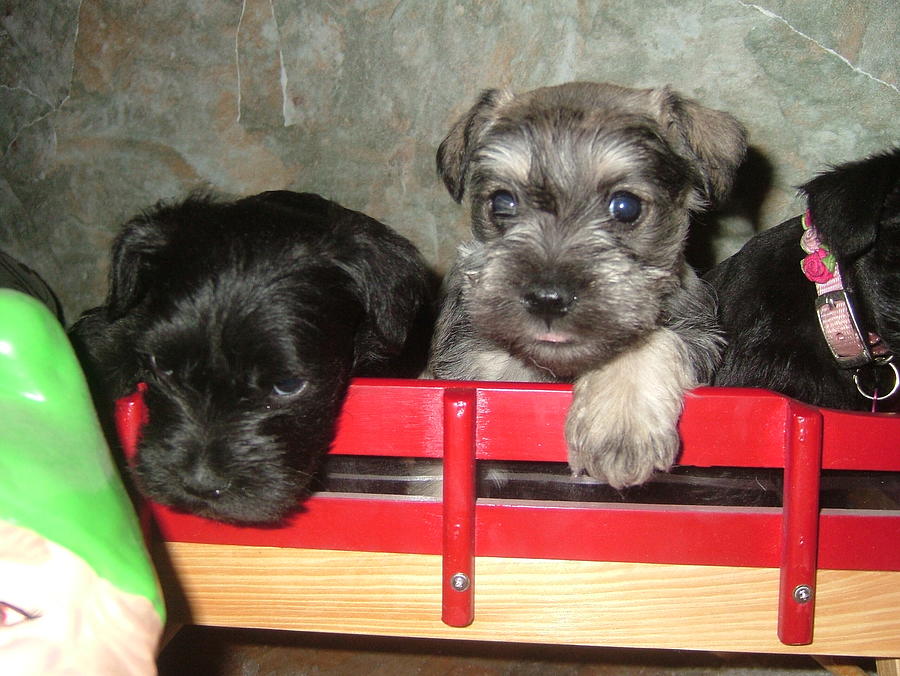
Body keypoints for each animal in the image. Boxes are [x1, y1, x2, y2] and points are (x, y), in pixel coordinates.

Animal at [428, 82, 744, 488]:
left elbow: (649, 339)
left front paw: (621, 427)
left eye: (625, 207)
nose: (547, 299)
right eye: (502, 202)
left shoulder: (699, 332)